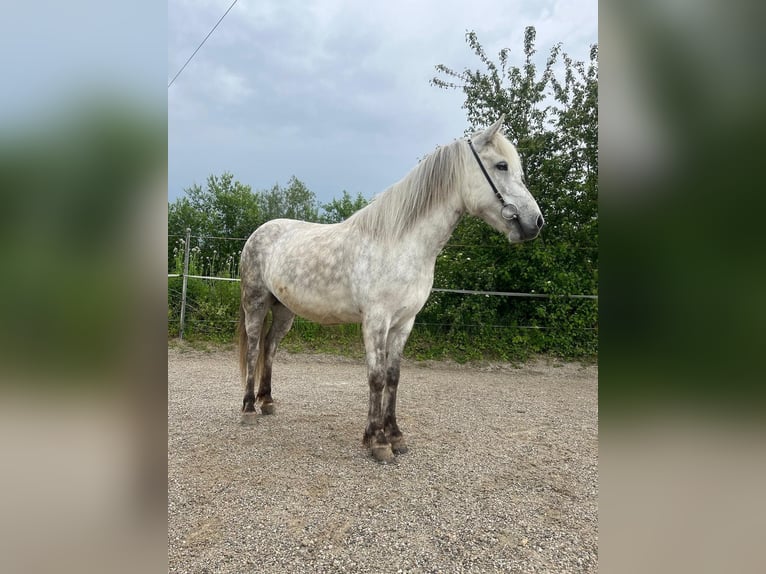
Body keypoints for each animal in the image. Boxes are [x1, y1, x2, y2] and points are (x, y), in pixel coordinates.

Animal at [240, 117, 544, 464]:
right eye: (501, 165)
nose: (535, 222)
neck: (401, 243)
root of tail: (260, 232)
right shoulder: (376, 321)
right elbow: (377, 377)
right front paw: (377, 441)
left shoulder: (404, 322)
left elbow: (394, 377)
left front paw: (396, 436)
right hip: (255, 303)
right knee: (253, 349)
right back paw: (248, 409)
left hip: (284, 311)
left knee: (270, 348)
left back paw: (267, 402)